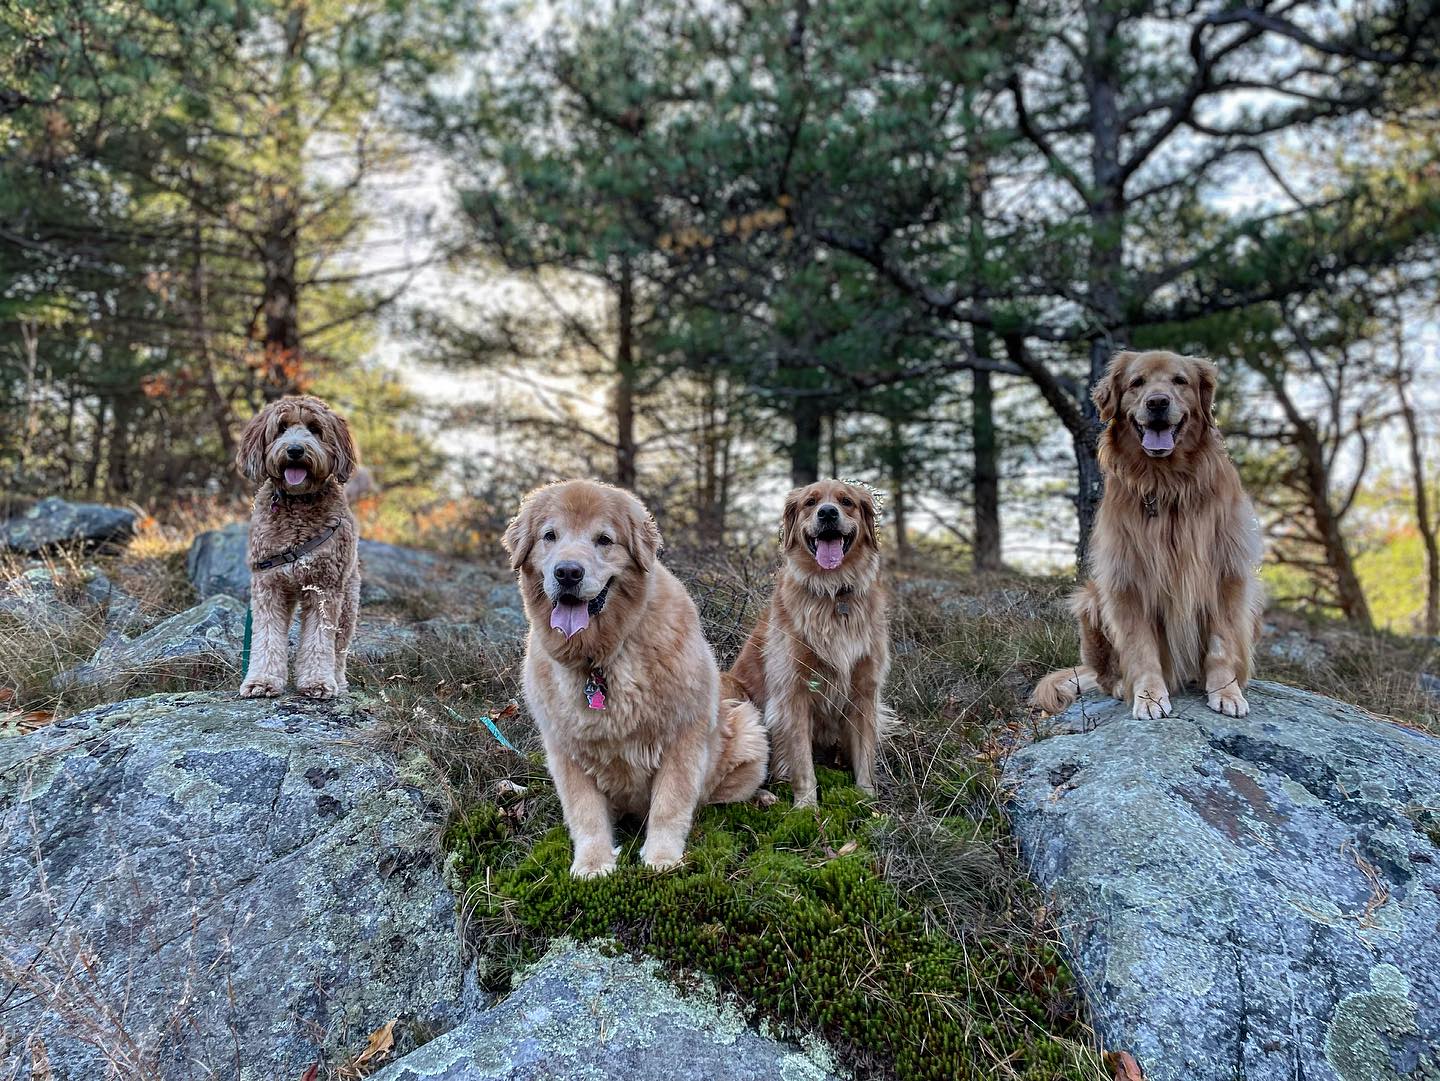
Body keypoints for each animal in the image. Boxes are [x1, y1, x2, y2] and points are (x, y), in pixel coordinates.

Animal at [236, 397, 360, 702]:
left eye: (315, 429)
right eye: (281, 428)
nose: (294, 450)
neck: (298, 502)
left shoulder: (324, 586)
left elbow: (319, 640)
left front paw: (318, 682)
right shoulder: (268, 584)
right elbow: (267, 637)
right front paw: (262, 680)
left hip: (348, 600)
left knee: (339, 645)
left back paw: (338, 679)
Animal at [509, 480, 771, 880]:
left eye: (604, 539)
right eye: (549, 536)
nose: (567, 573)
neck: (602, 656)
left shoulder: (683, 735)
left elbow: (670, 803)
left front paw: (662, 858)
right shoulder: (565, 748)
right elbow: (585, 813)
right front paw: (593, 863)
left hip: (747, 729)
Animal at [731, 480, 887, 806]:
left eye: (846, 501)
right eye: (810, 503)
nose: (827, 513)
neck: (833, 593)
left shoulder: (865, 689)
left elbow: (865, 754)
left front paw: (866, 799)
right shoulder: (793, 692)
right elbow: (802, 761)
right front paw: (806, 805)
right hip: (734, 692)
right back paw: (763, 795)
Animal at [1036, 352, 1261, 719]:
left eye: (1180, 381)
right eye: (1136, 383)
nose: (1157, 402)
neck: (1166, 482)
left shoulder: (1227, 573)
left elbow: (1221, 643)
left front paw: (1226, 691)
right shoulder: (1128, 580)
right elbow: (1141, 649)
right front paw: (1149, 696)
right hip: (1090, 600)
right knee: (1103, 674)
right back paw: (1118, 685)